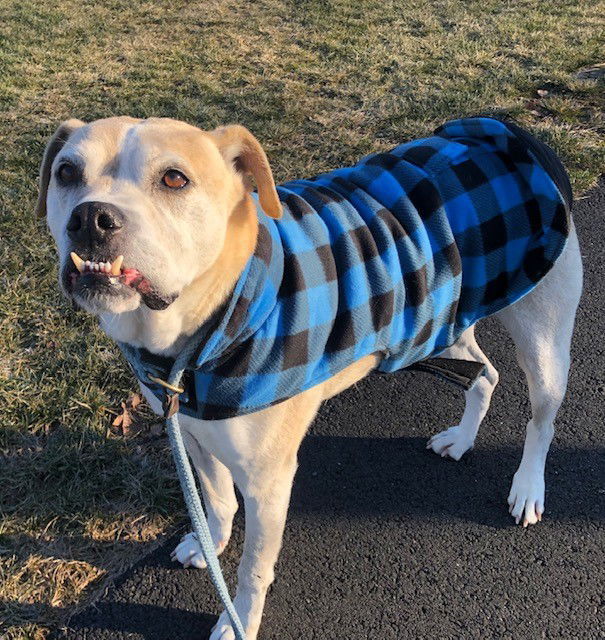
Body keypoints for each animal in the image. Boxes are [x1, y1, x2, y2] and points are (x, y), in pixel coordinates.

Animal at [37, 116, 580, 640]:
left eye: (174, 178)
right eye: (66, 172)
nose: (91, 218)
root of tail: (510, 132)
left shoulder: (268, 482)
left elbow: (253, 569)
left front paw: (238, 621)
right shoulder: (192, 433)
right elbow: (216, 500)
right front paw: (211, 544)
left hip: (543, 339)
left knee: (542, 421)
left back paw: (528, 487)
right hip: (440, 321)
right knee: (485, 374)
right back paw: (463, 439)